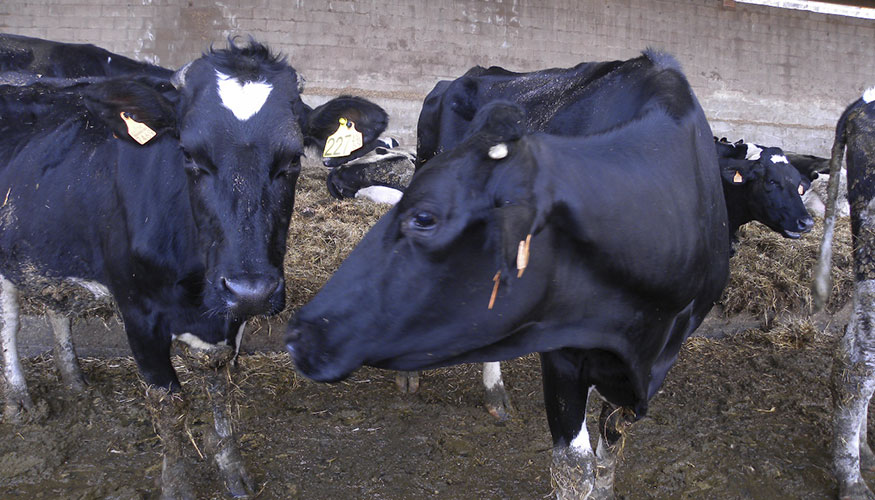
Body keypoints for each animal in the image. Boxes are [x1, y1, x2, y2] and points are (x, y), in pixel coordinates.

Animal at [0, 37, 386, 498]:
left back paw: (75, 381)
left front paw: (231, 469)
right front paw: (178, 484)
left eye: (293, 159)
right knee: (9, 317)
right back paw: (20, 400)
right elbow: (169, 405)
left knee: (55, 303)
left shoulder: (229, 315)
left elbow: (221, 387)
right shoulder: (138, 310)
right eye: (188, 153)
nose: (251, 289)